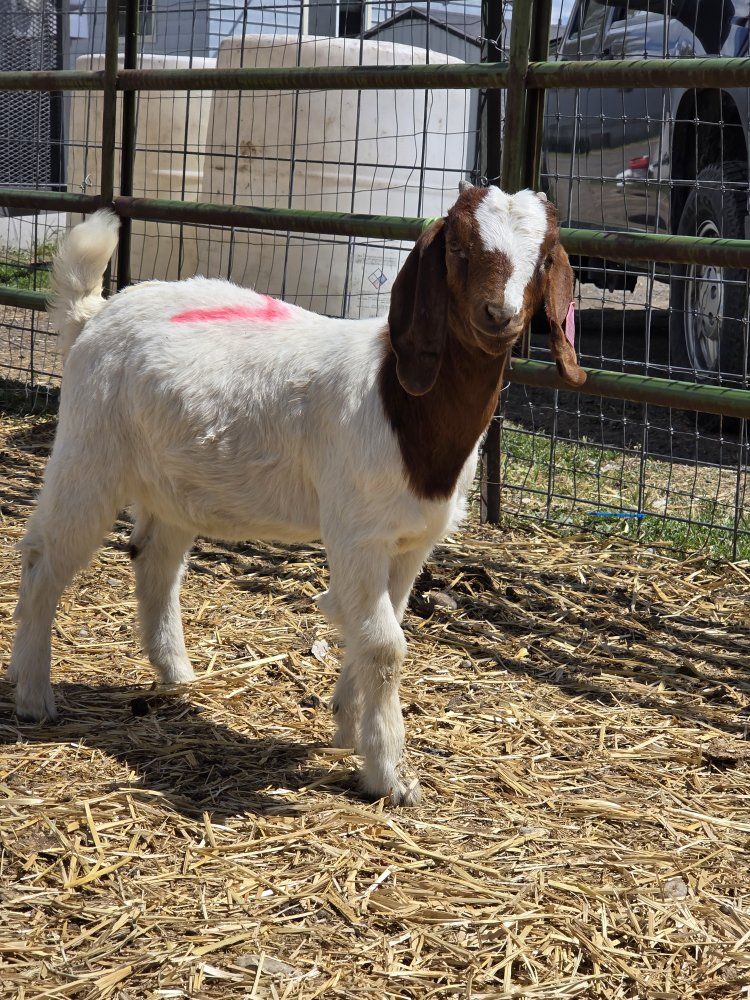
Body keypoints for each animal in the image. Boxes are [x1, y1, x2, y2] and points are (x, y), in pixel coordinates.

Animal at [7, 183, 585, 805]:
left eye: (545, 256)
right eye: (457, 246)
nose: (499, 315)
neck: (402, 405)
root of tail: (93, 316)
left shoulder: (411, 541)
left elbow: (378, 625)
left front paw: (348, 724)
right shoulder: (356, 533)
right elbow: (385, 643)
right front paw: (390, 775)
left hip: (174, 482)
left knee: (154, 560)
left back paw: (177, 674)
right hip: (90, 452)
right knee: (45, 557)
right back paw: (33, 694)